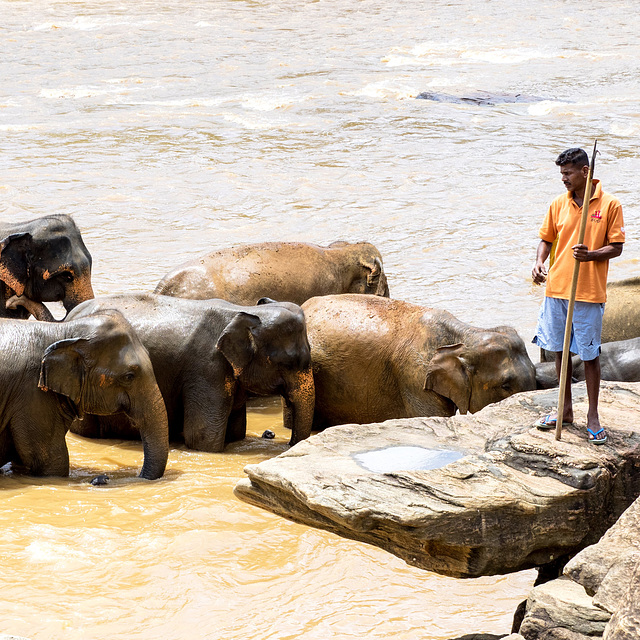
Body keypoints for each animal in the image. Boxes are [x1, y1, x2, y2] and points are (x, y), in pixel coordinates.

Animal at [65, 294, 316, 450]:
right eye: (288, 363)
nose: (286, 443)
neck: (244, 310)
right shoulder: (207, 369)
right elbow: (203, 438)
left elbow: (236, 432)